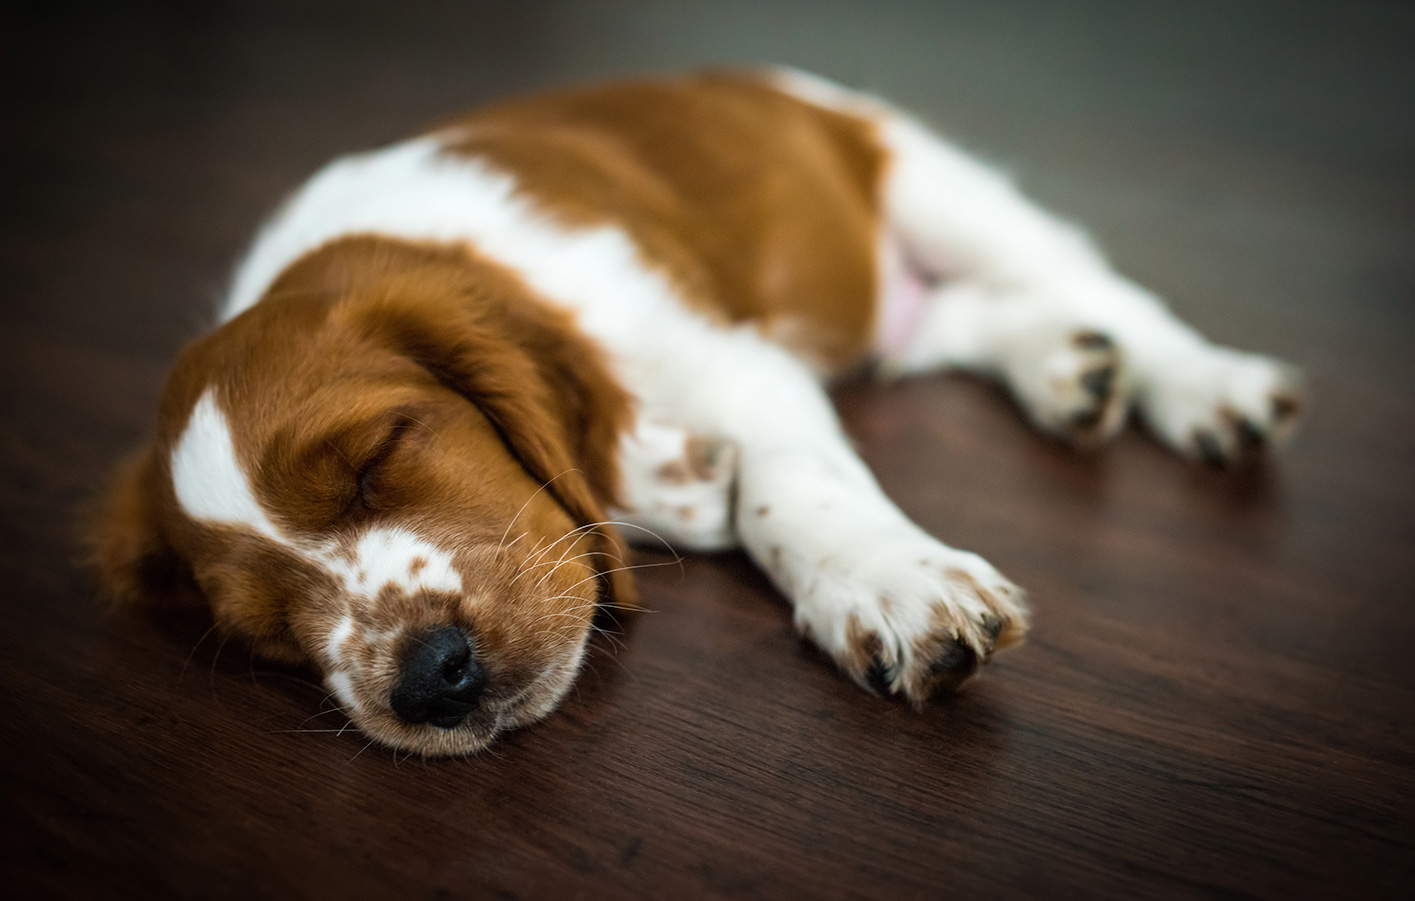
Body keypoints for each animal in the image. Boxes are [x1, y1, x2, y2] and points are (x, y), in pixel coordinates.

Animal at [91, 73, 1301, 758]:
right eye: (263, 631)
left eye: (375, 459)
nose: (430, 677)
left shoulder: (732, 360)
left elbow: (787, 485)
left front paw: (894, 587)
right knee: (963, 319)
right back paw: (1064, 369)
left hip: (931, 186)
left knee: (1092, 281)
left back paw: (1204, 386)